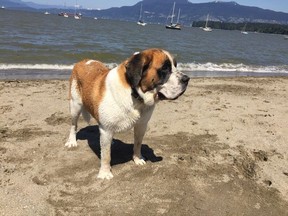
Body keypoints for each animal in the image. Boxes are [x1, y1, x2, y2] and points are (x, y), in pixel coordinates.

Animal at [64, 48, 189, 180]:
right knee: (73, 125)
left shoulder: (141, 125)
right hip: (75, 105)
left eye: (175, 65)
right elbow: (106, 154)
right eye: (165, 68)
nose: (187, 79)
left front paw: (138, 159)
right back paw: (72, 141)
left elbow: (138, 143)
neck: (134, 93)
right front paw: (105, 173)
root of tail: (83, 61)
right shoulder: (106, 129)